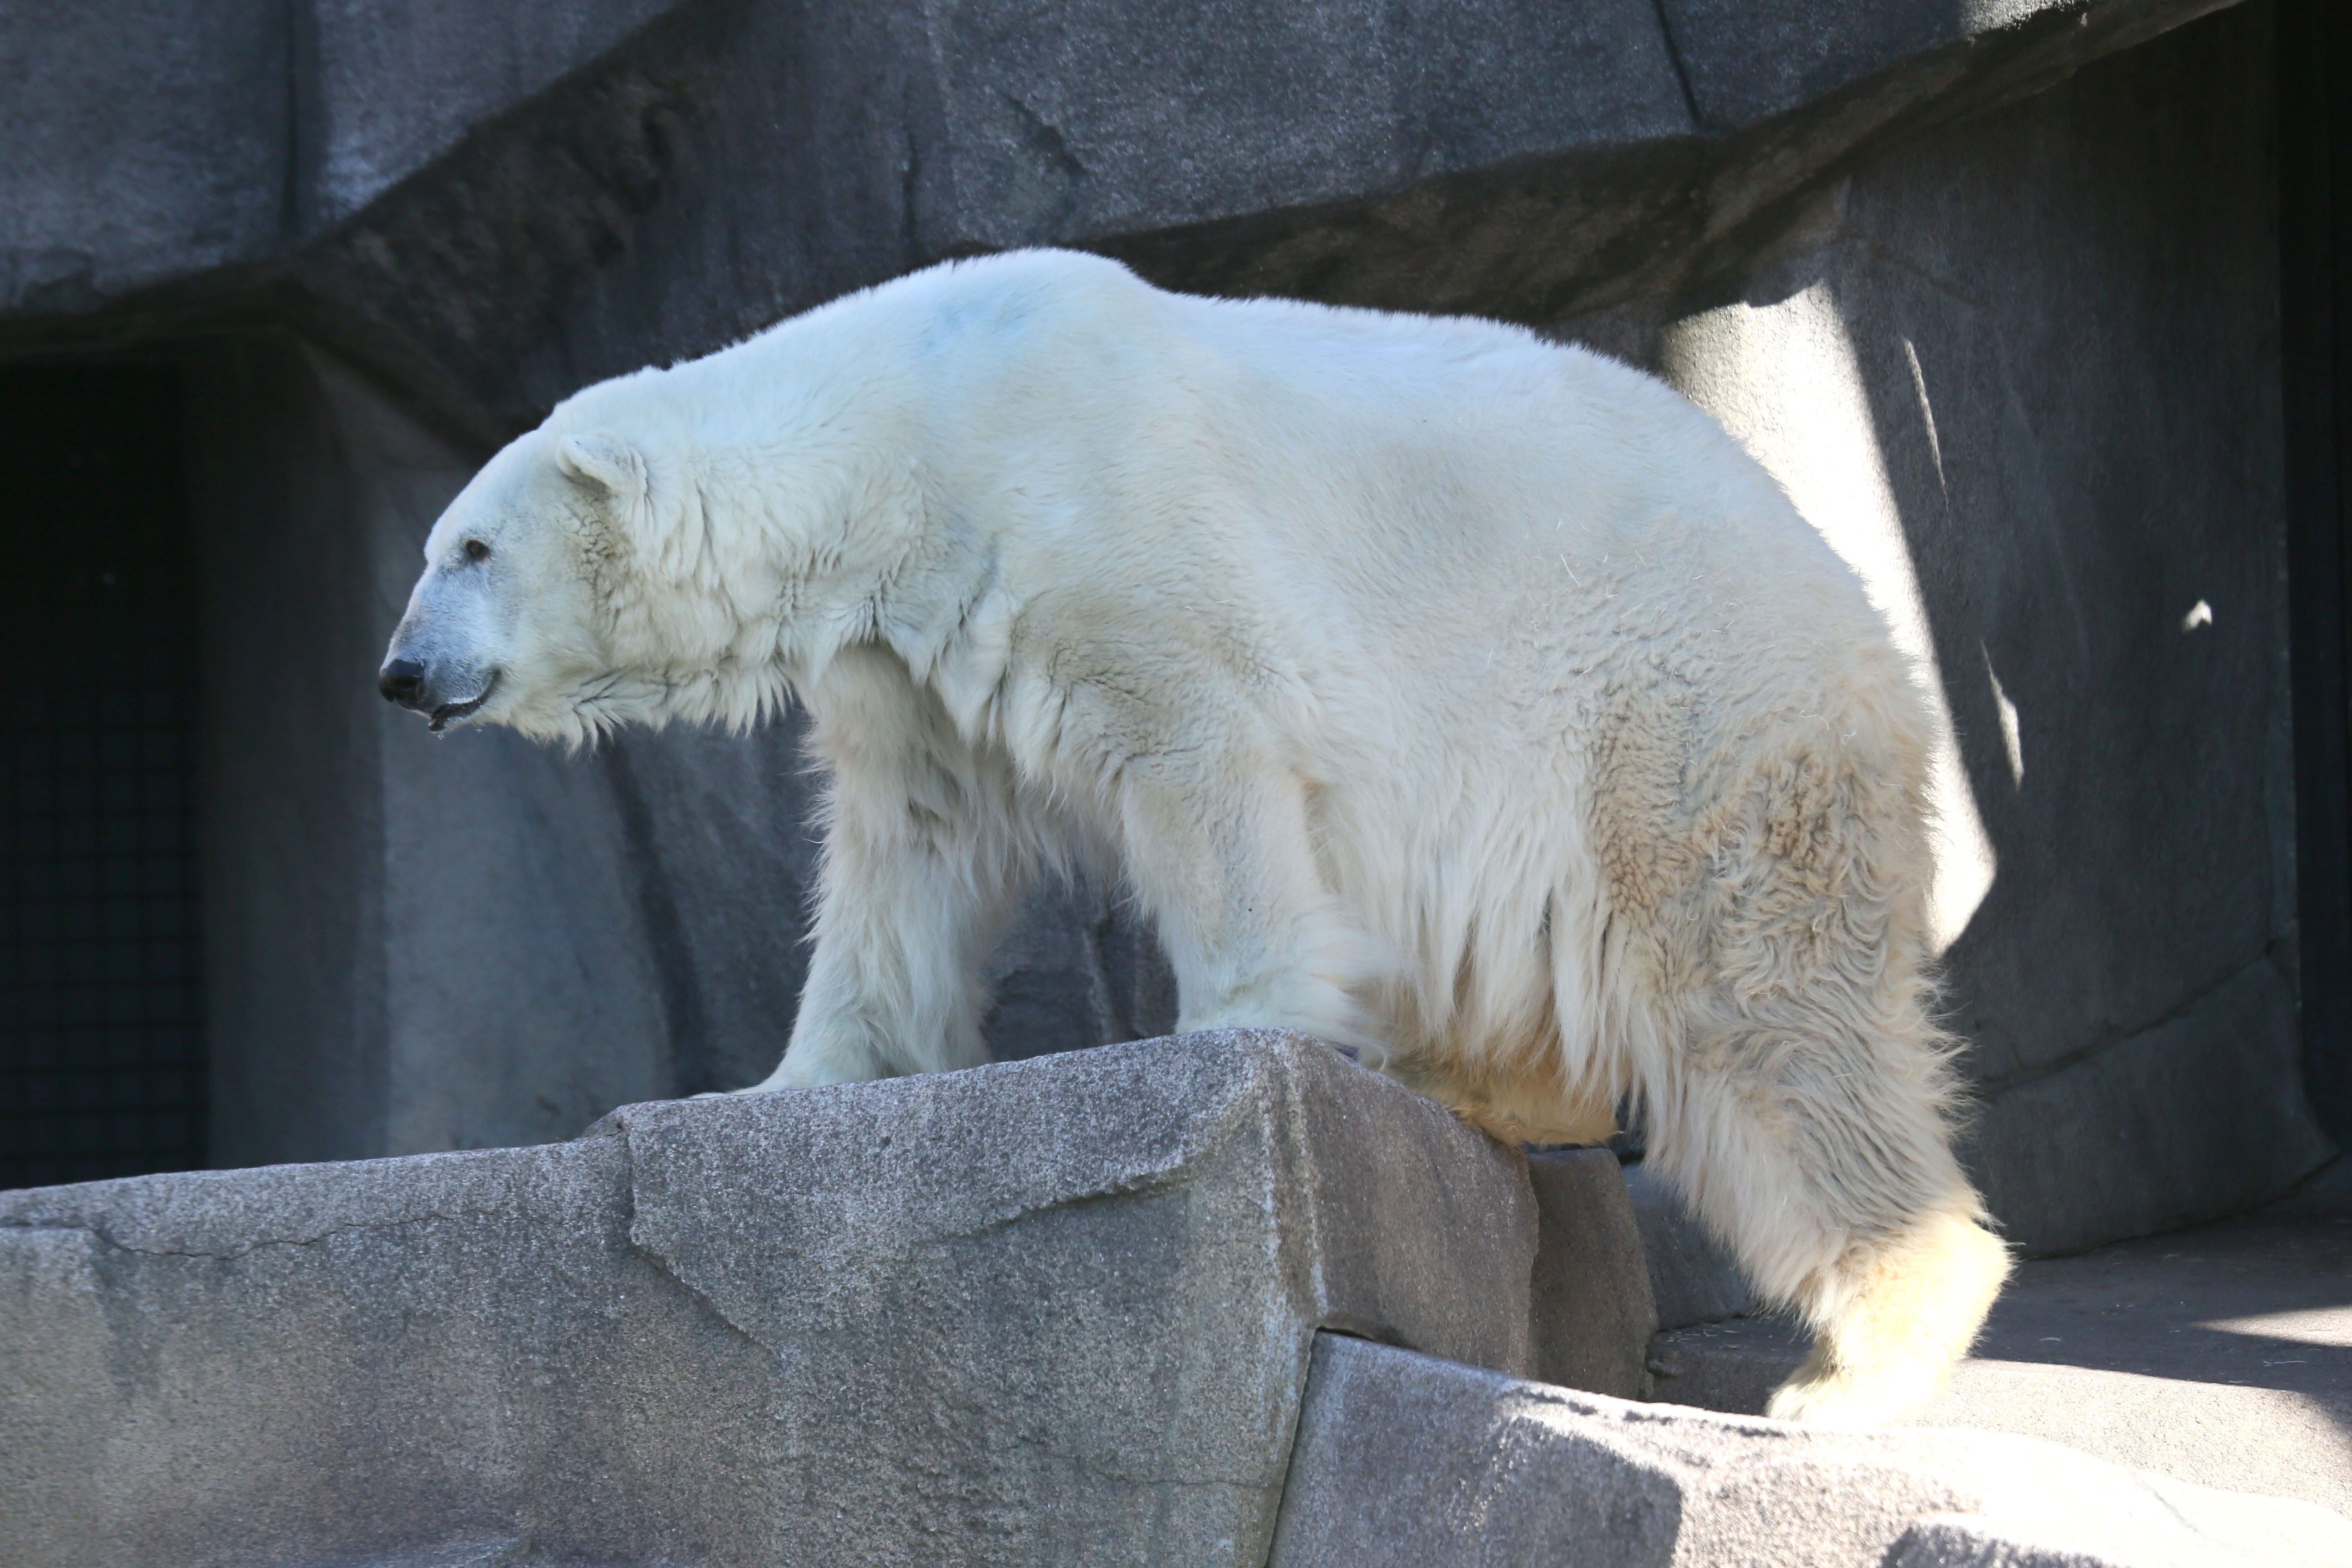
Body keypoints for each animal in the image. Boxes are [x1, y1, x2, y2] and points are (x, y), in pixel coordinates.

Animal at [381, 245, 2004, 1420]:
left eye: (471, 547)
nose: (398, 673)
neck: (908, 436)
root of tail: (1856, 609)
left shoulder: (1103, 530)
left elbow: (1206, 757)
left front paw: (1232, 1036)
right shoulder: (911, 656)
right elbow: (908, 855)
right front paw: (784, 1084)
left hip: (1686, 714)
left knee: (1772, 1008)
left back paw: (1855, 1370)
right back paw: (1469, 1078)